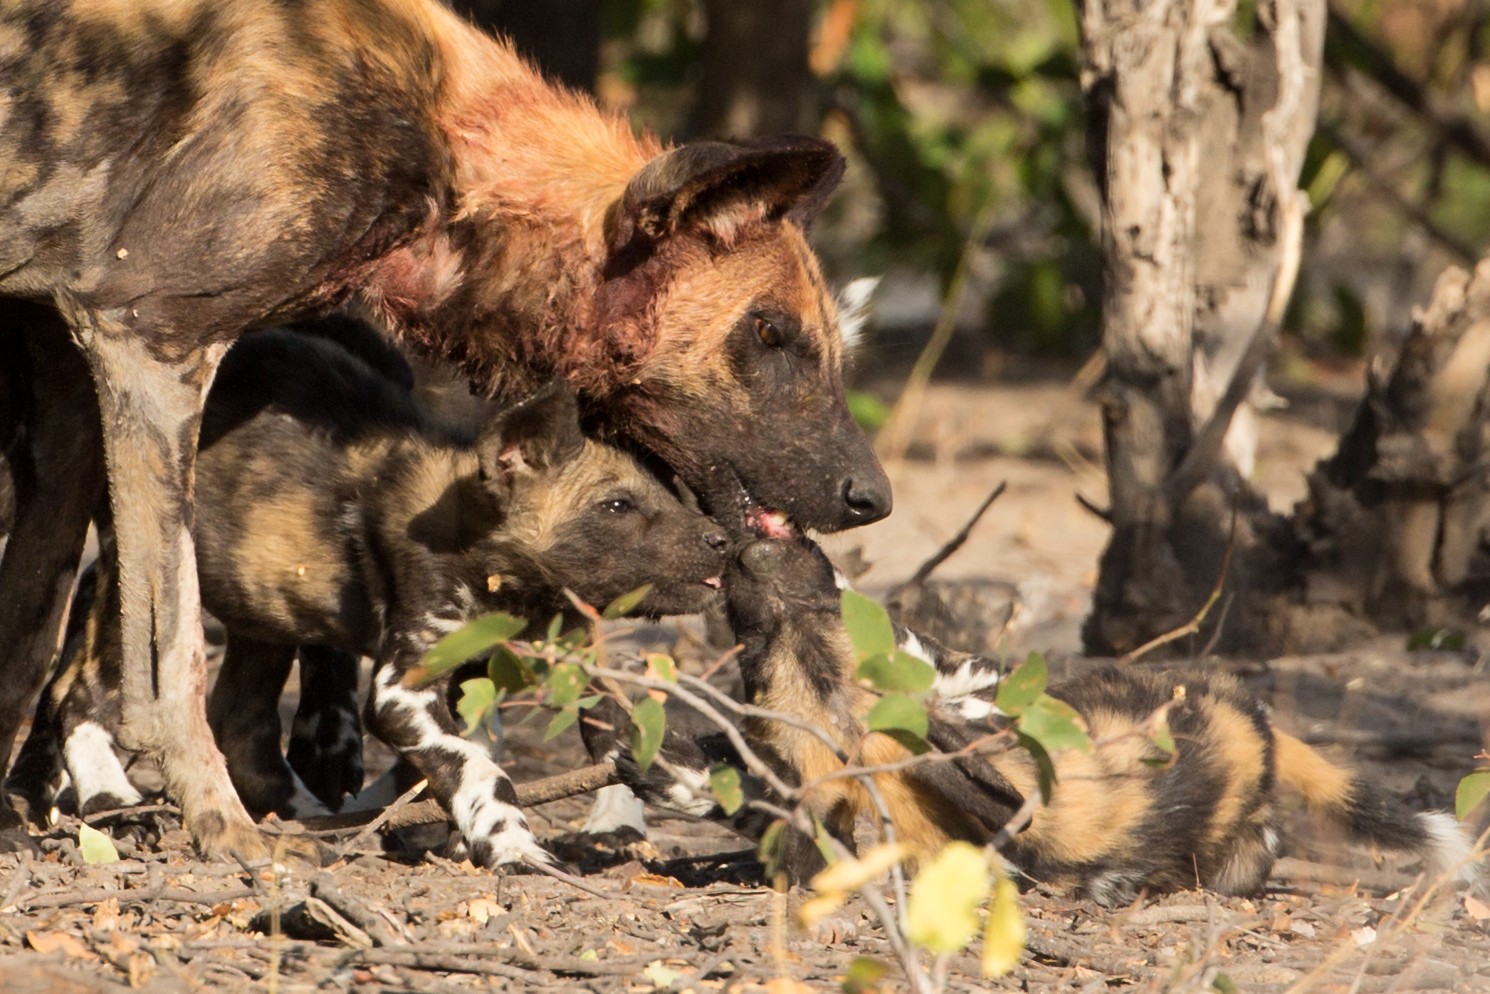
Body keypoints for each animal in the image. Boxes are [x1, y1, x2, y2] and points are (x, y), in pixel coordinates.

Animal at [0, 0, 882, 858]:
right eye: (767, 333)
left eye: (834, 350)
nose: (873, 498)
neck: (449, 145)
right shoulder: (150, 345)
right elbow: (170, 662)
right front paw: (221, 827)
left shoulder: (71, 369)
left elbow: (25, 629)